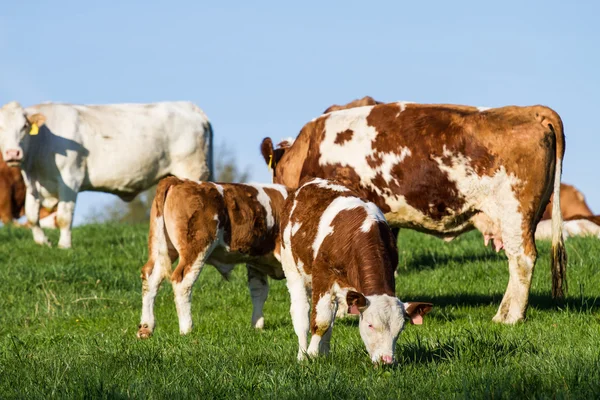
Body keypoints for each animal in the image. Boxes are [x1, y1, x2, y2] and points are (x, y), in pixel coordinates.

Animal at [0, 101, 213, 248]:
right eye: (0, 128)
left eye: (24, 127)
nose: (12, 153)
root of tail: (189, 106)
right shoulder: (33, 183)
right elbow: (31, 216)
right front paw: (43, 242)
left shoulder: (70, 178)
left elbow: (64, 217)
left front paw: (64, 246)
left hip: (191, 169)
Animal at [136, 176, 288, 338]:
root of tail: (179, 181)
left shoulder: (255, 260)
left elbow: (259, 290)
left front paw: (257, 326)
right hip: (197, 248)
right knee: (182, 282)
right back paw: (186, 329)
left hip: (162, 247)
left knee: (151, 277)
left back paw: (146, 328)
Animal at [278, 178, 434, 366]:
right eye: (370, 325)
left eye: (400, 328)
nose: (386, 360)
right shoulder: (323, 276)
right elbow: (321, 321)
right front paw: (312, 355)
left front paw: (320, 353)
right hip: (292, 268)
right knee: (301, 313)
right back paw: (302, 355)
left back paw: (324, 352)